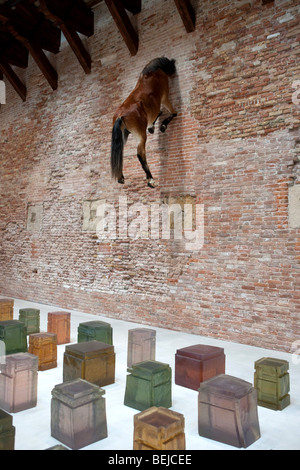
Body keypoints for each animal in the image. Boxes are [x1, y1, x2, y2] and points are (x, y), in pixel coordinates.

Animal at [110, 56, 177, 186]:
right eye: (170, 64)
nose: (174, 66)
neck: (152, 72)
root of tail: (121, 115)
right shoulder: (165, 99)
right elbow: (172, 113)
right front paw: (162, 126)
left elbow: (157, 115)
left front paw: (152, 127)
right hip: (140, 136)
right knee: (140, 154)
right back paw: (150, 179)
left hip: (123, 136)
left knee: (120, 154)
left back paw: (121, 178)